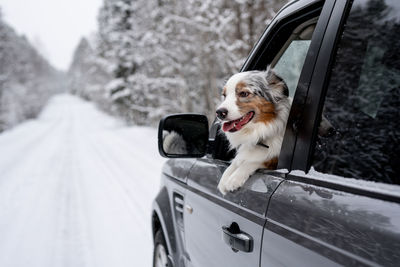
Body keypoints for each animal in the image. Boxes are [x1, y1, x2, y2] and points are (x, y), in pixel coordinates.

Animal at [216, 68, 290, 196]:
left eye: (243, 93)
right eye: (224, 95)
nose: (219, 112)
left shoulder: (274, 160)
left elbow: (254, 160)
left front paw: (234, 179)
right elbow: (236, 161)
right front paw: (224, 178)